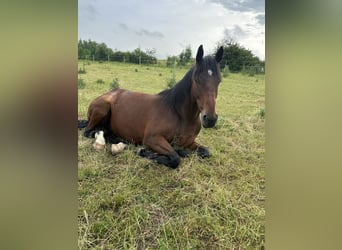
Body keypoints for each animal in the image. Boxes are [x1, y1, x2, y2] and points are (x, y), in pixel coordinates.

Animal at [79, 45, 226, 169]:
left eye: (219, 81)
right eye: (197, 79)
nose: (210, 119)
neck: (179, 114)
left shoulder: (189, 142)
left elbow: (206, 152)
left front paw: (181, 151)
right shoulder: (152, 139)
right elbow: (175, 158)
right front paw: (144, 151)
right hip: (102, 109)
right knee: (88, 131)